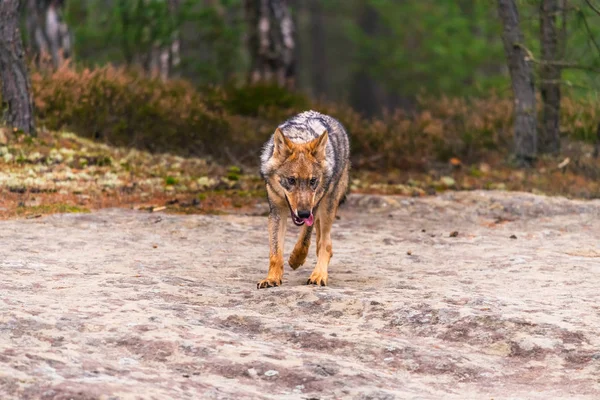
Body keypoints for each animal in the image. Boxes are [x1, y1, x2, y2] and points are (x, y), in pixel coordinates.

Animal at [255, 111, 350, 290]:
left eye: (312, 181)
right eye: (291, 180)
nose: (304, 213)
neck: (301, 138)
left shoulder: (314, 207)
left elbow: (304, 240)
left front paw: (295, 259)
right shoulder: (276, 212)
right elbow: (275, 252)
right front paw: (272, 278)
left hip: (327, 207)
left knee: (326, 244)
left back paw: (319, 275)